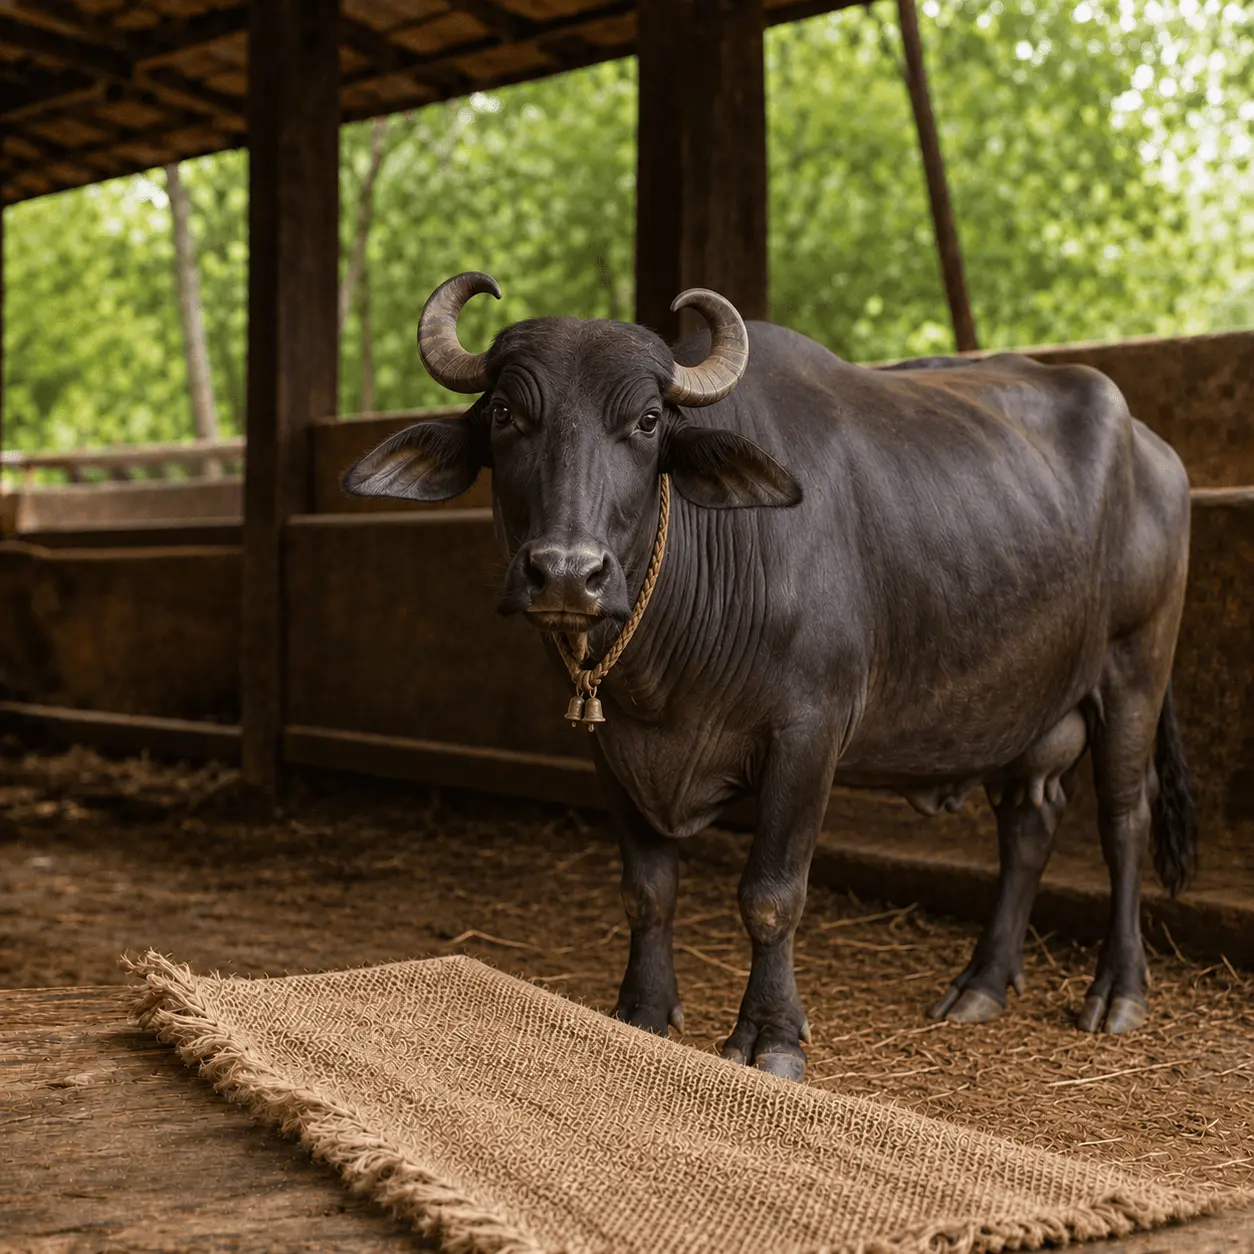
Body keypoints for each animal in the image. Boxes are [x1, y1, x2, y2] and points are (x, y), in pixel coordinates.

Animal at [345, 273, 1196, 1080]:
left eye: (647, 422)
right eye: (504, 414)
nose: (565, 574)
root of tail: (1154, 451)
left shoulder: (807, 737)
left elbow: (772, 895)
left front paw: (771, 1036)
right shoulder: (613, 749)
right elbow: (647, 889)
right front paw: (641, 1012)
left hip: (1135, 668)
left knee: (1123, 818)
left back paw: (1118, 991)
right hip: (1026, 710)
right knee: (1028, 820)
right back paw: (981, 983)